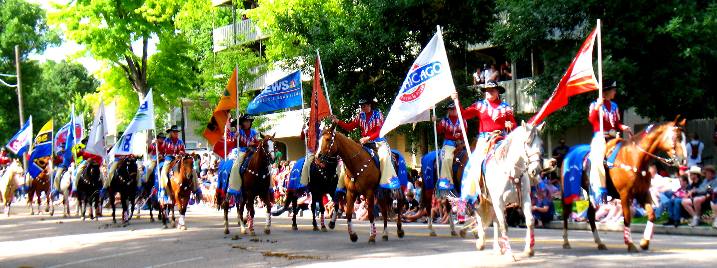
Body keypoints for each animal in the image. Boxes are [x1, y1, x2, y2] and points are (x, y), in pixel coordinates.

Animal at [470, 123, 544, 258]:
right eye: (527, 143)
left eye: (541, 143)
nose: (535, 170)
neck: (513, 172)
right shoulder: (499, 201)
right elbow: (504, 225)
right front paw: (509, 253)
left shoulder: (525, 198)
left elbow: (530, 221)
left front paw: (529, 249)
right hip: (480, 199)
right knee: (479, 215)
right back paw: (481, 242)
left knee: (494, 221)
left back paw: (497, 248)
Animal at [560, 119, 688, 251]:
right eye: (677, 137)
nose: (683, 160)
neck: (634, 158)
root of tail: (568, 152)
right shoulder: (625, 195)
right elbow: (627, 218)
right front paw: (630, 244)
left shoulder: (642, 193)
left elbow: (651, 214)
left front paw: (645, 242)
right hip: (568, 191)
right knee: (566, 213)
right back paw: (566, 242)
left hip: (593, 194)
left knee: (590, 215)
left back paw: (599, 243)